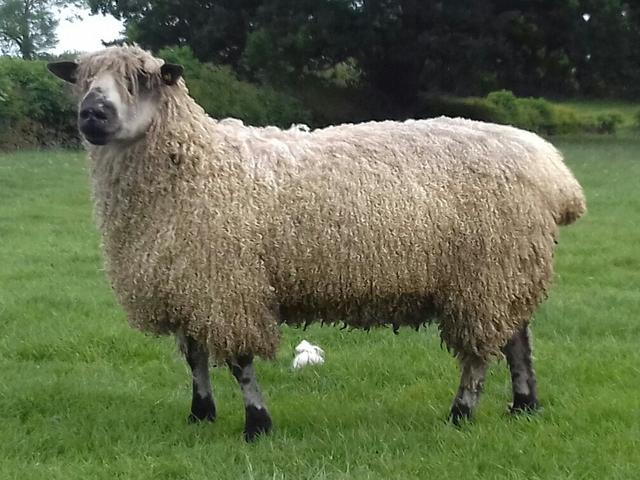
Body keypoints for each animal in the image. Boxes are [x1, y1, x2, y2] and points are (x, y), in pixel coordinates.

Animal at [47, 46, 586, 441]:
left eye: (142, 80)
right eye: (83, 79)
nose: (92, 113)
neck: (198, 166)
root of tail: (554, 171)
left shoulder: (230, 285)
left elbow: (240, 363)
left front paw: (257, 425)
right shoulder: (187, 283)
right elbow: (194, 357)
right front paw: (200, 413)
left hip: (487, 271)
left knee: (479, 353)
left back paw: (461, 413)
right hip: (507, 271)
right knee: (517, 339)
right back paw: (524, 405)